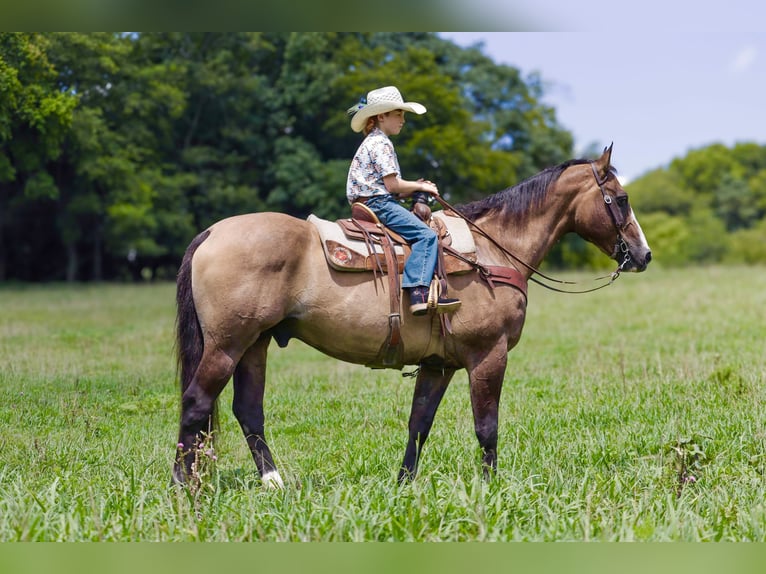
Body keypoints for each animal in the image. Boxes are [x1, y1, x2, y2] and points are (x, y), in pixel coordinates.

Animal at [171, 145, 652, 490]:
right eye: (621, 199)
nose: (643, 254)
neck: (490, 251)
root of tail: (211, 233)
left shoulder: (438, 365)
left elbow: (419, 424)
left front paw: (404, 485)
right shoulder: (488, 356)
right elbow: (487, 426)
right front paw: (490, 487)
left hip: (255, 342)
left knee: (248, 409)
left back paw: (274, 483)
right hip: (227, 344)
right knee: (196, 402)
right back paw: (182, 486)